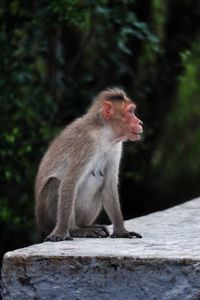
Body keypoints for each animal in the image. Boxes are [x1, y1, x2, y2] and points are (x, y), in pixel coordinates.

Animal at [34, 87, 144, 241]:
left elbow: (108, 185)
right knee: (55, 183)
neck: (104, 134)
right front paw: (61, 232)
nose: (140, 122)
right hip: (46, 219)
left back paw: (87, 226)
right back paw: (75, 229)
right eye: (130, 112)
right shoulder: (86, 143)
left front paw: (121, 231)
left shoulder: (116, 147)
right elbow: (69, 183)